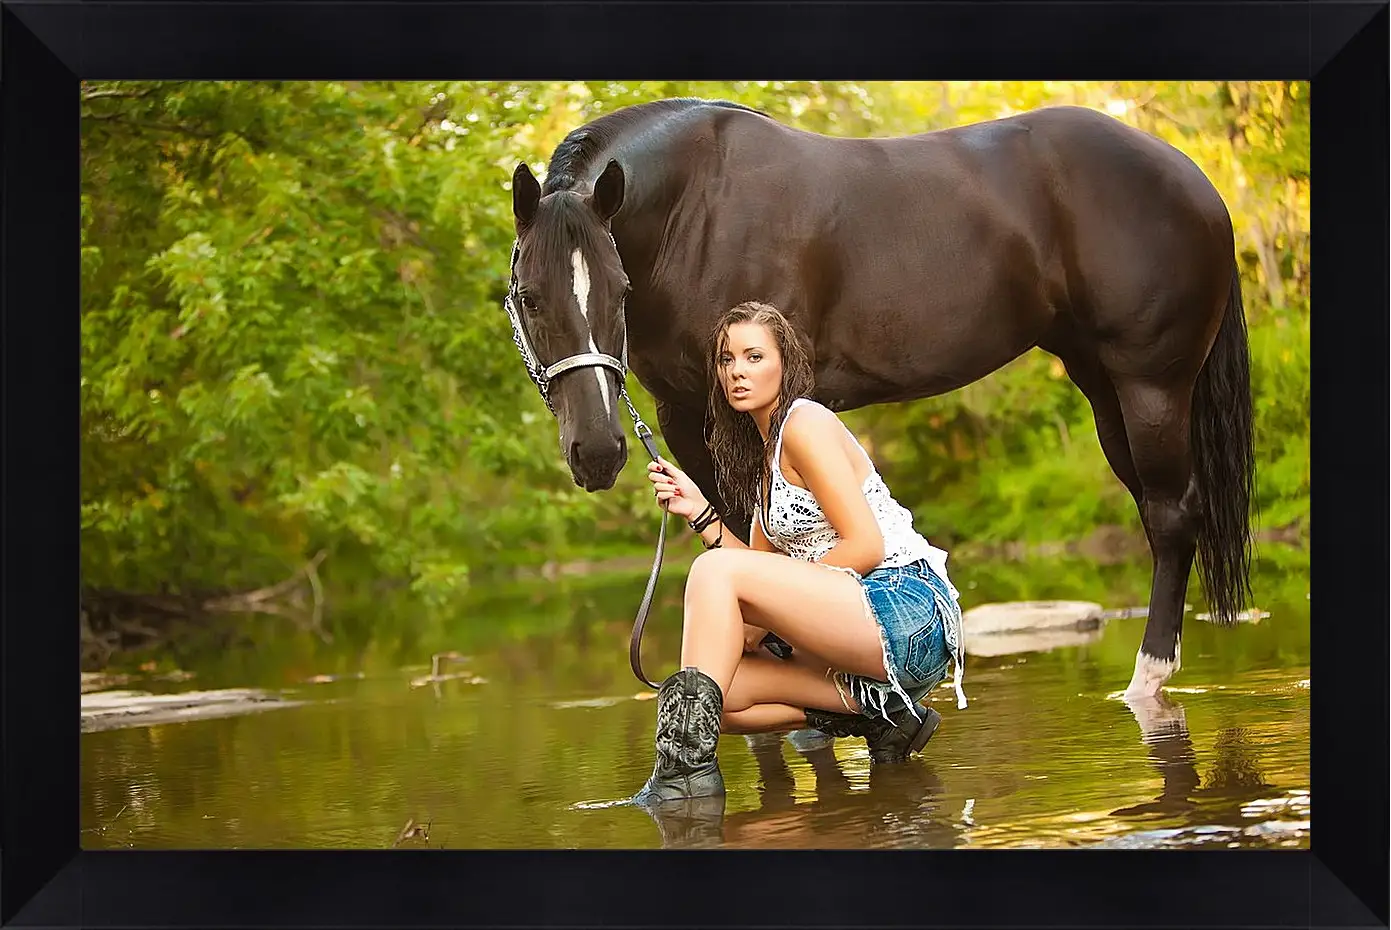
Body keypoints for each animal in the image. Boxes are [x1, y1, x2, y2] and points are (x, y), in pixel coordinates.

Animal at [506, 100, 1257, 695]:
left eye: (619, 291)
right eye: (530, 296)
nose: (598, 451)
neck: (697, 210)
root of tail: (1195, 181)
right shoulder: (690, 417)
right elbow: (736, 548)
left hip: (1150, 383)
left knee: (1171, 515)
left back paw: (1147, 681)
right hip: (1102, 385)